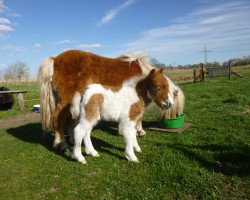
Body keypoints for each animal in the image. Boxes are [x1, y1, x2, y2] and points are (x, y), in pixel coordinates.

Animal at [38, 50, 185, 150]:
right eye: (160, 87)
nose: (168, 105)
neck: (142, 80)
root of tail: (55, 60)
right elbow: (139, 117)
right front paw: (140, 131)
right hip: (65, 102)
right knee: (58, 119)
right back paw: (61, 143)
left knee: (69, 121)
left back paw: (73, 140)